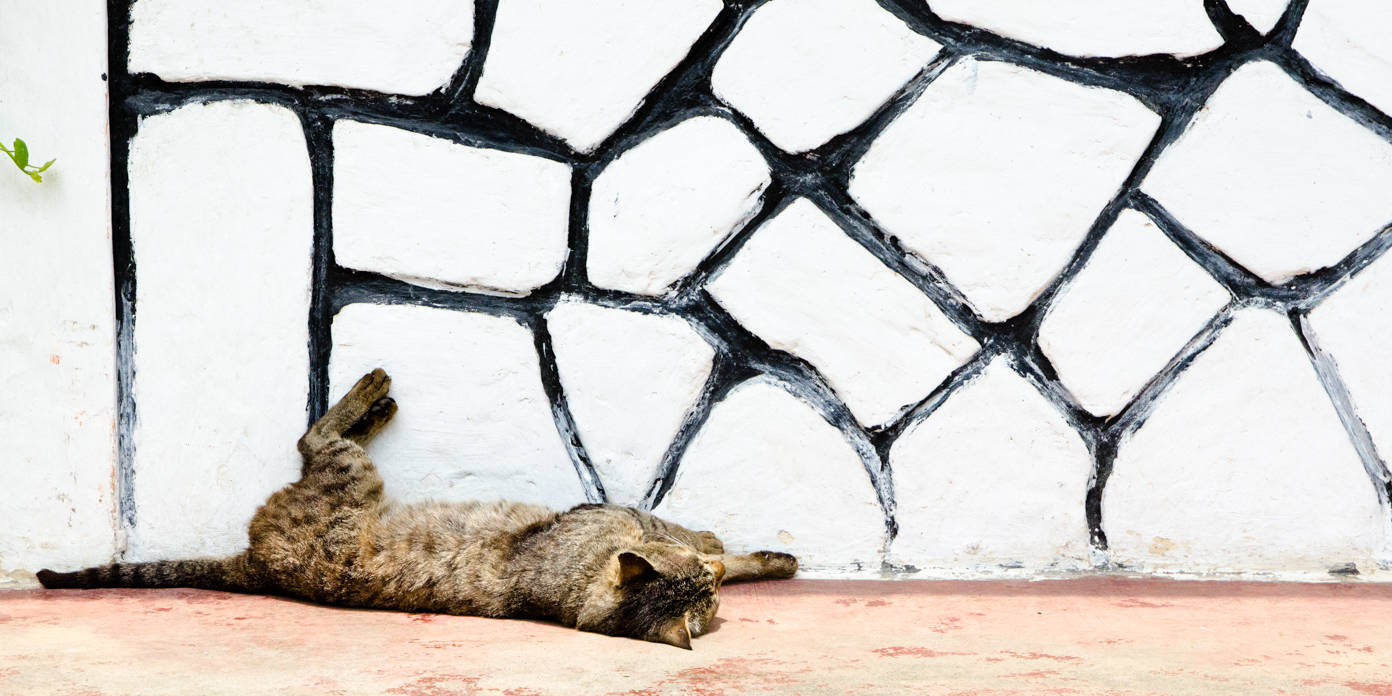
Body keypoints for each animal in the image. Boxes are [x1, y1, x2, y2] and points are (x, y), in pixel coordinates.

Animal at [38, 370, 801, 645]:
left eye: (706, 600)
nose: (713, 582)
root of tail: (254, 563)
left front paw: (754, 560)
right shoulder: (604, 513)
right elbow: (674, 523)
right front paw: (737, 549)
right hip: (350, 477)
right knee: (315, 438)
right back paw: (372, 393)